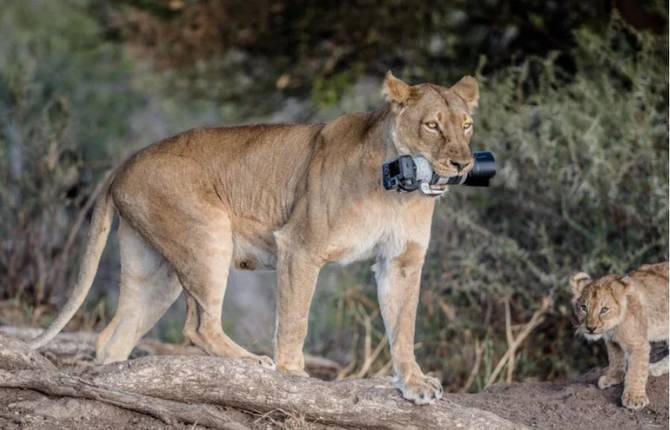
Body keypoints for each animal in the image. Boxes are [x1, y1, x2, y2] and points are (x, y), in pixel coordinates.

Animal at [29, 71, 480, 405]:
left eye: (467, 125)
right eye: (432, 125)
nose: (463, 163)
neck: (397, 192)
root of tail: (125, 163)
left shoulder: (402, 261)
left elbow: (404, 325)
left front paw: (414, 383)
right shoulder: (300, 246)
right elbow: (295, 319)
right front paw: (292, 375)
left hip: (155, 270)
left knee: (114, 336)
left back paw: (116, 379)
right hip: (208, 235)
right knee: (199, 327)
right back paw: (253, 365)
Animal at [571, 262, 669, 410]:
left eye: (604, 309)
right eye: (583, 307)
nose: (591, 328)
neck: (614, 326)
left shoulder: (638, 345)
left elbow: (636, 371)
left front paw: (634, 398)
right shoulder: (612, 341)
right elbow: (615, 359)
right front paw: (613, 378)